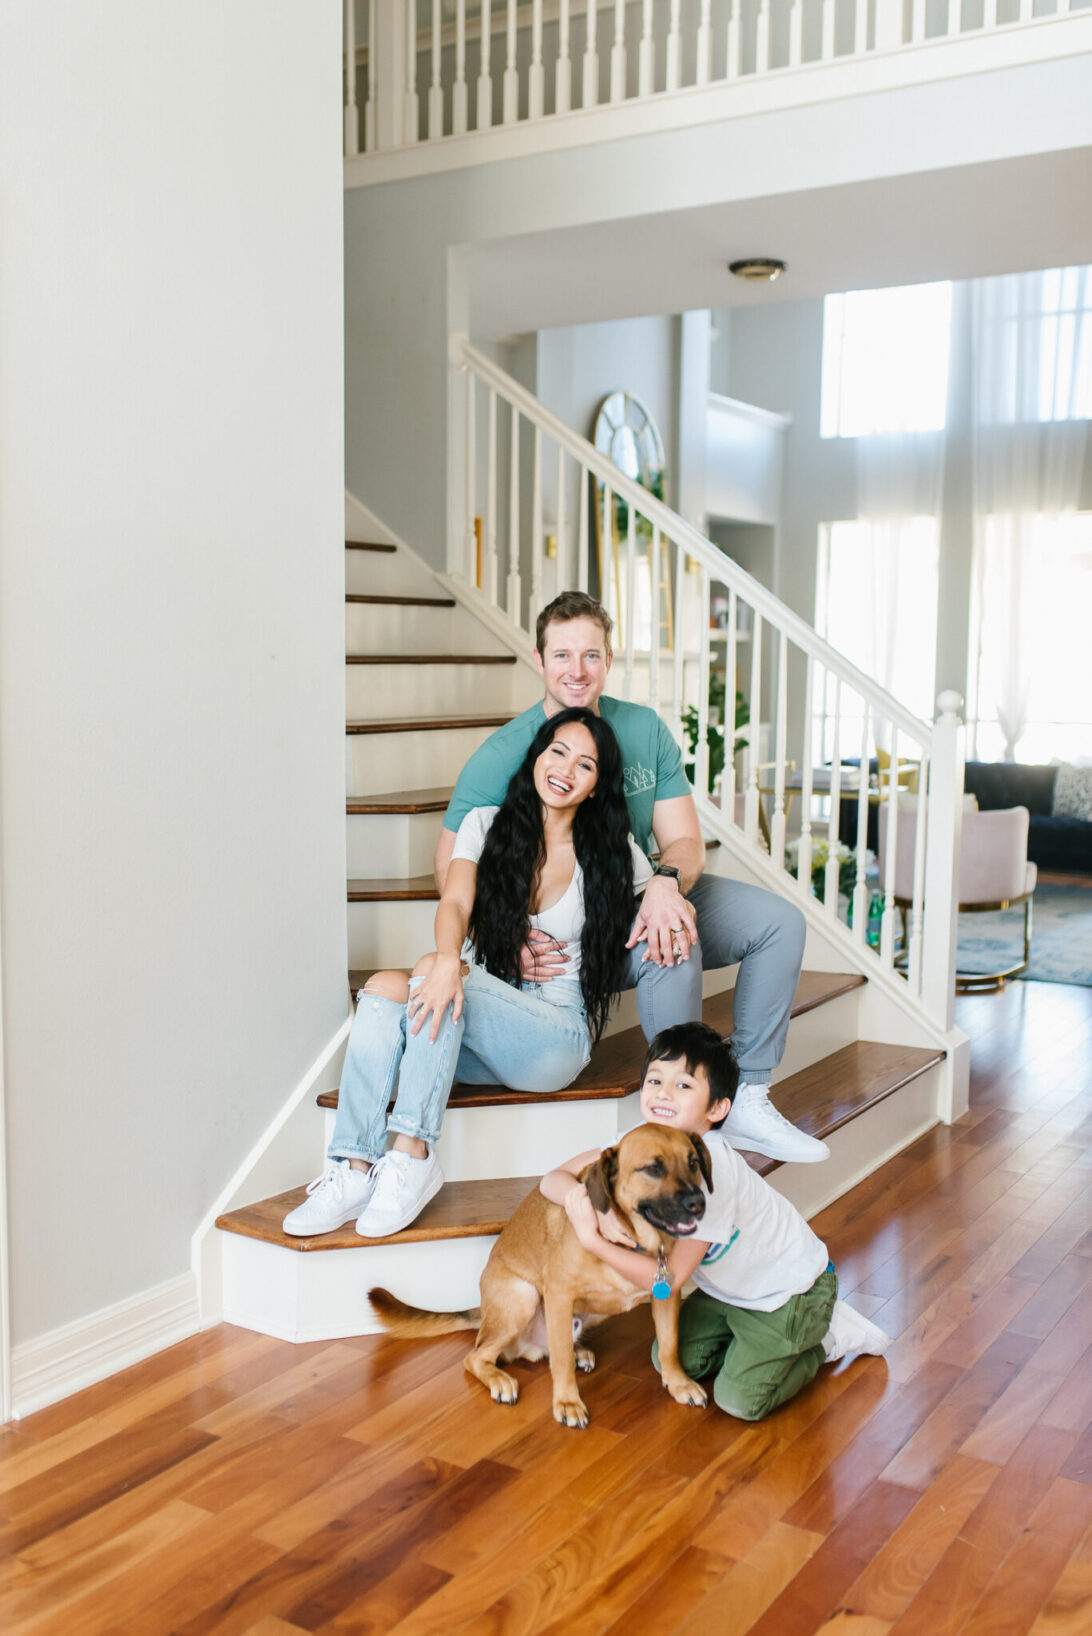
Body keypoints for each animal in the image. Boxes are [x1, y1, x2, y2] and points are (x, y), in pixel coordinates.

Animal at [370, 1119, 710, 1426]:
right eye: (653, 1169)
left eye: (693, 1162)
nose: (698, 1203)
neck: (635, 1241)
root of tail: (483, 1310)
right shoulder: (558, 1294)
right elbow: (560, 1361)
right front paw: (568, 1403)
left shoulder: (667, 1295)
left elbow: (669, 1346)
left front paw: (679, 1383)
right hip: (523, 1297)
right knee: (477, 1356)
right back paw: (500, 1379)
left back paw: (579, 1351)